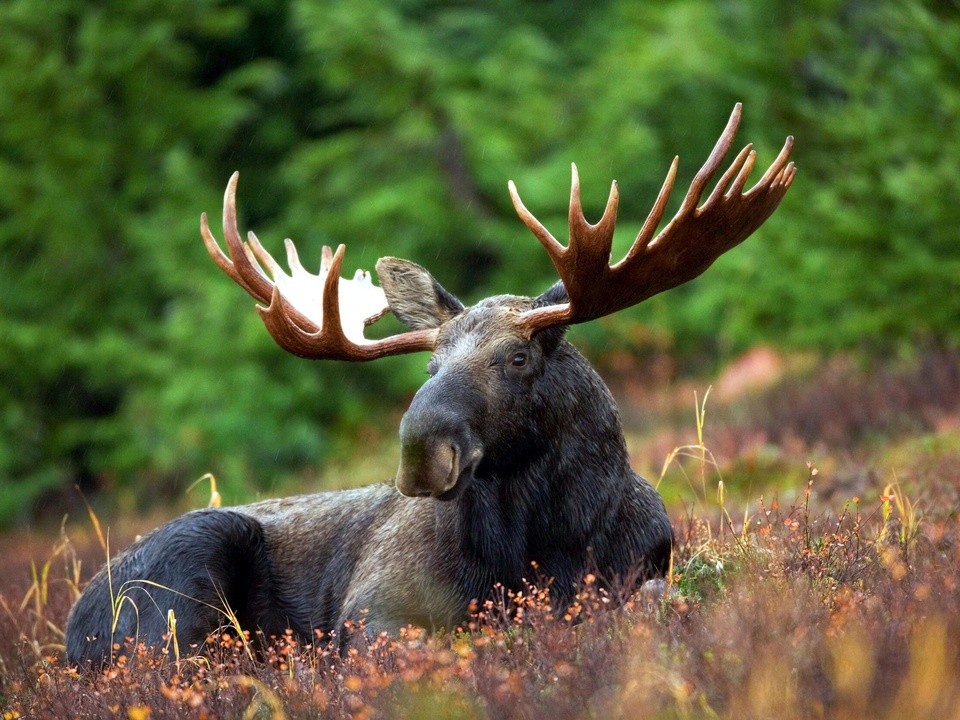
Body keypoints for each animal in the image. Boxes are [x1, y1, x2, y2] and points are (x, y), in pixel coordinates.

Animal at [63, 104, 792, 668]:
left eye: (518, 357)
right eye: (429, 366)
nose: (421, 450)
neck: (547, 544)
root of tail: (72, 630)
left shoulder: (644, 573)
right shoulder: (373, 611)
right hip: (184, 579)